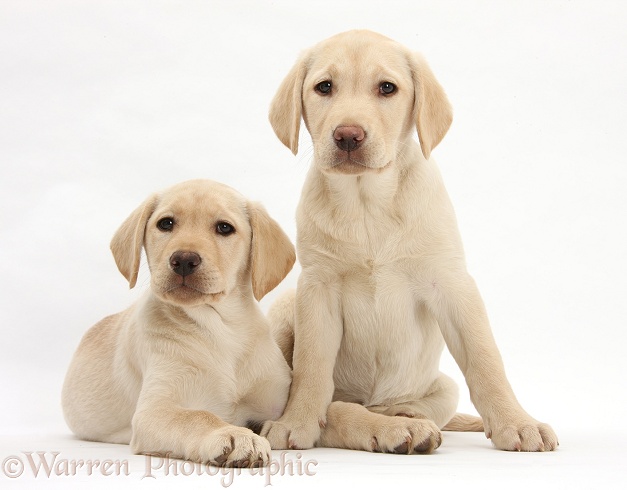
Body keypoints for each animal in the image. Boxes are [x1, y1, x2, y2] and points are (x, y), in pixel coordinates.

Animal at [62, 180, 296, 468]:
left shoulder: (276, 400)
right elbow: (197, 417)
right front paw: (234, 435)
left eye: (224, 228)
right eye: (166, 224)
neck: (221, 328)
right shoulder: (153, 411)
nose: (183, 259)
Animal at [262, 29, 560, 452]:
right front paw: (297, 420)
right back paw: (386, 428)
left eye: (387, 88)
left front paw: (516, 422)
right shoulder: (317, 287)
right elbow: (311, 366)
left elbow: (485, 359)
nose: (348, 136)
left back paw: (403, 418)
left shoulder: (451, 282)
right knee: (337, 409)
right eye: (324, 87)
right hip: (289, 305)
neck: (366, 203)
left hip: (443, 387)